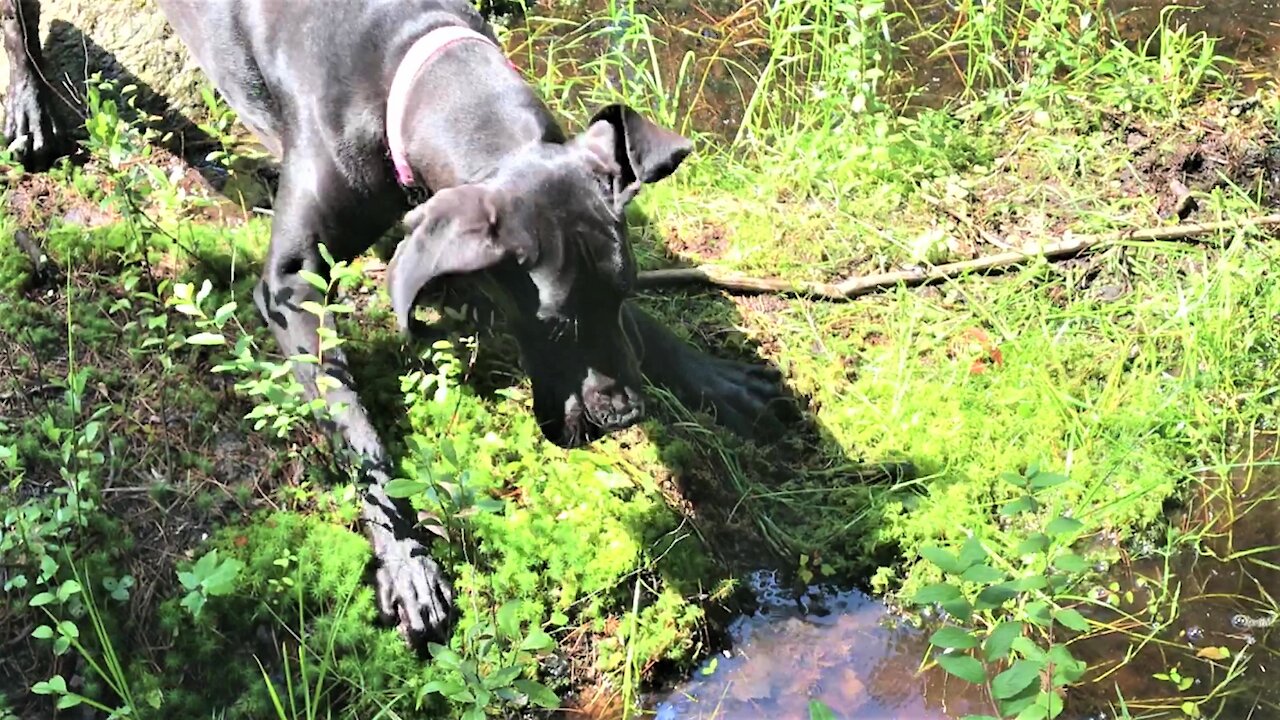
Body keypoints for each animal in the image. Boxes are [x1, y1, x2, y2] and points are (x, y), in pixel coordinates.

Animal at [2, 0, 788, 638]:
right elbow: (360, 435)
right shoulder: (292, 286)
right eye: (553, 327)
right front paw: (406, 557)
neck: (411, 57)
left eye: (624, 294)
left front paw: (716, 380)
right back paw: (31, 106)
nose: (624, 417)